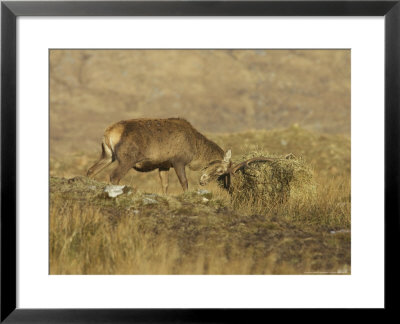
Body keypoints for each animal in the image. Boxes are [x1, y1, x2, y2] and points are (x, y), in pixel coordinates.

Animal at [86, 119, 233, 195]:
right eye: (220, 170)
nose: (203, 182)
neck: (196, 151)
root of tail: (109, 133)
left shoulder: (164, 165)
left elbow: (165, 185)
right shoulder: (178, 161)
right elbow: (184, 182)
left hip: (107, 155)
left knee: (91, 170)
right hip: (127, 159)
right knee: (114, 176)